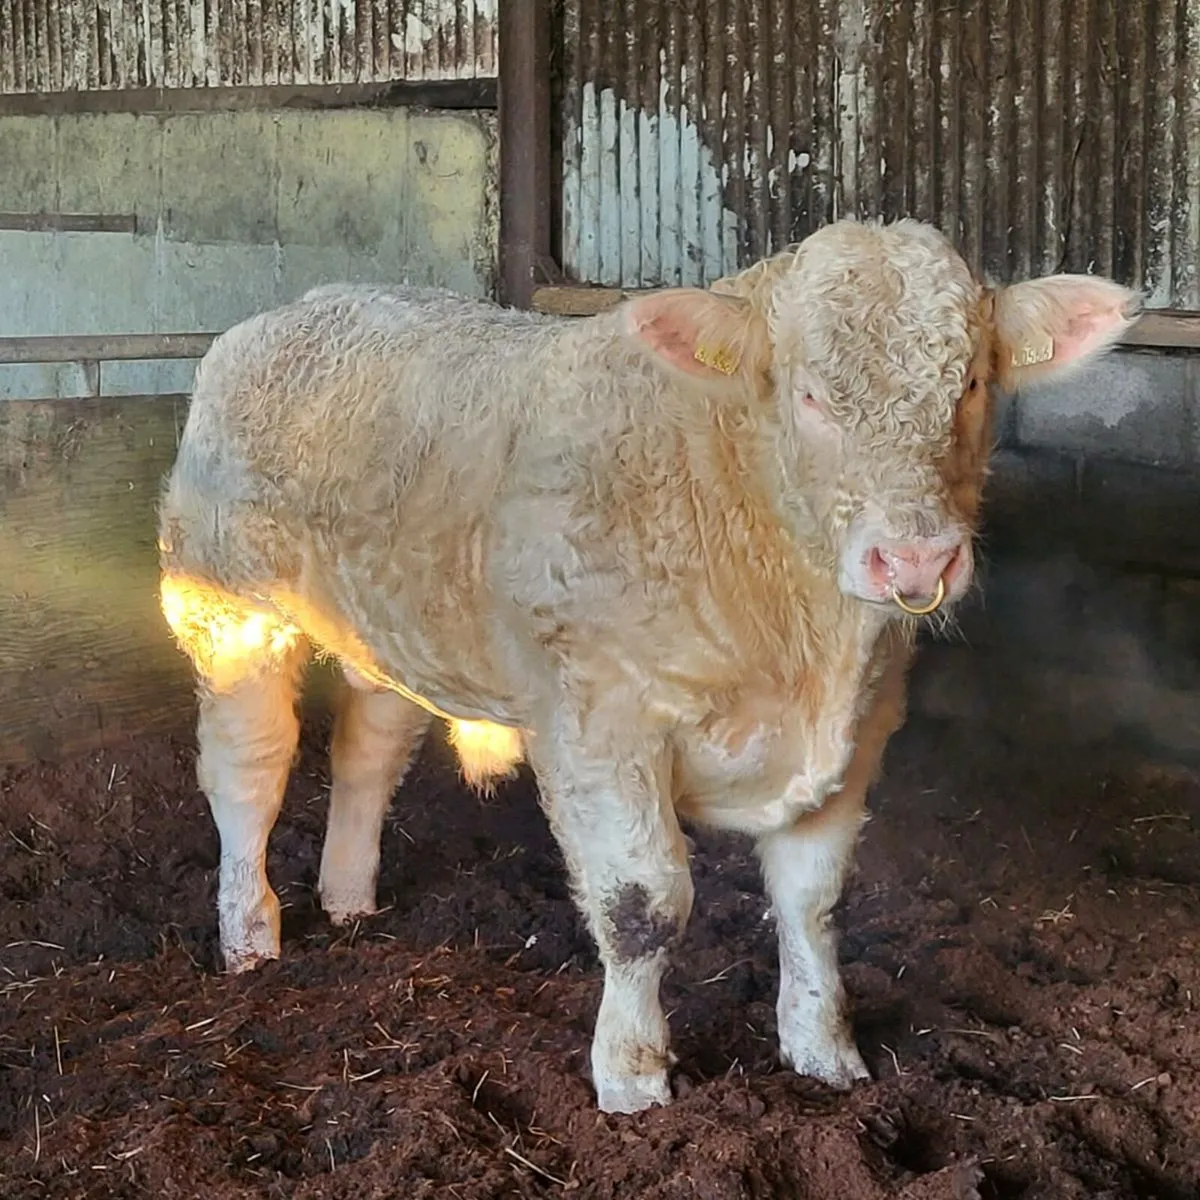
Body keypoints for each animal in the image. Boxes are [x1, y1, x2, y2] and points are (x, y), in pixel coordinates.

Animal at [158, 217, 1136, 1113]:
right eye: (810, 397)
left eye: (969, 383)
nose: (916, 560)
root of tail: (302, 309)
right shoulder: (602, 720)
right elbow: (643, 905)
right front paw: (631, 1076)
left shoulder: (862, 726)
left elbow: (813, 899)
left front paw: (823, 1049)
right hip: (225, 604)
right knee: (248, 770)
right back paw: (250, 935)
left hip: (393, 621)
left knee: (369, 749)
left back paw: (350, 898)